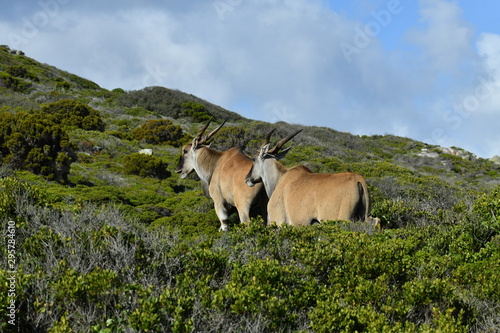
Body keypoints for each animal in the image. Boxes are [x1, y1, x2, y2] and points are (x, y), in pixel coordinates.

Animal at [246, 128, 378, 227]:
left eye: (254, 159)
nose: (247, 178)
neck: (280, 179)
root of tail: (358, 180)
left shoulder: (278, 221)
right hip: (363, 217)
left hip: (341, 220)